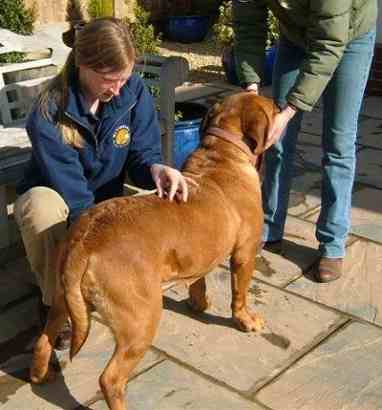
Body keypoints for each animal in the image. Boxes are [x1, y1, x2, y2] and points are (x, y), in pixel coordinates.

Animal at [30, 93, 278, 410]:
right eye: (273, 108)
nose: (282, 106)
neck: (223, 153)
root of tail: (85, 242)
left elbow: (198, 281)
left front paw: (198, 303)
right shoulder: (244, 255)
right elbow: (240, 294)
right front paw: (245, 320)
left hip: (63, 300)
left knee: (43, 340)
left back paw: (40, 376)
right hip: (141, 320)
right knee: (110, 379)